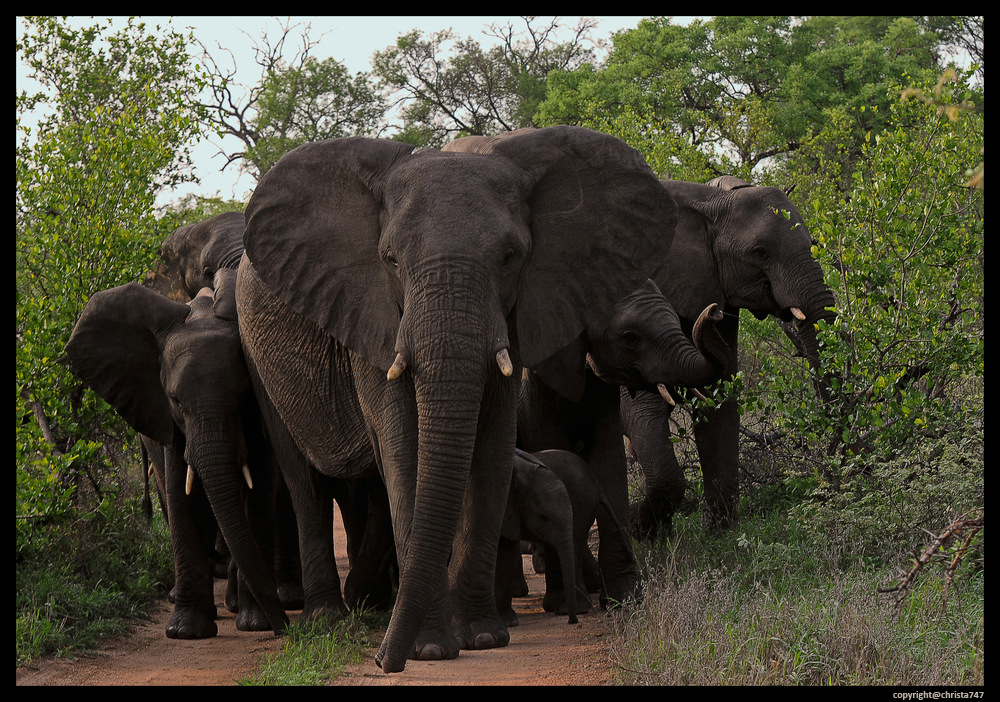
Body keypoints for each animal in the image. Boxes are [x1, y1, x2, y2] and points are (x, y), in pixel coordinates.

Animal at [64, 272, 288, 640]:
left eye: (243, 396)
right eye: (176, 401)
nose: (286, 628)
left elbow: (258, 494)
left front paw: (256, 624)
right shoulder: (165, 419)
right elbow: (181, 495)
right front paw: (186, 632)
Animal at [232, 126, 680, 676]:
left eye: (510, 257)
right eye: (390, 260)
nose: (383, 661)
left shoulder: (515, 318)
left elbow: (490, 450)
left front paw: (483, 637)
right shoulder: (373, 315)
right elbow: (406, 451)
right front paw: (429, 649)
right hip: (258, 359)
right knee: (305, 484)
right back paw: (330, 619)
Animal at [628, 177, 840, 540]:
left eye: (812, 242)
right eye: (760, 253)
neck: (707, 201)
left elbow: (719, 392)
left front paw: (719, 536)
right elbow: (640, 403)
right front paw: (642, 531)